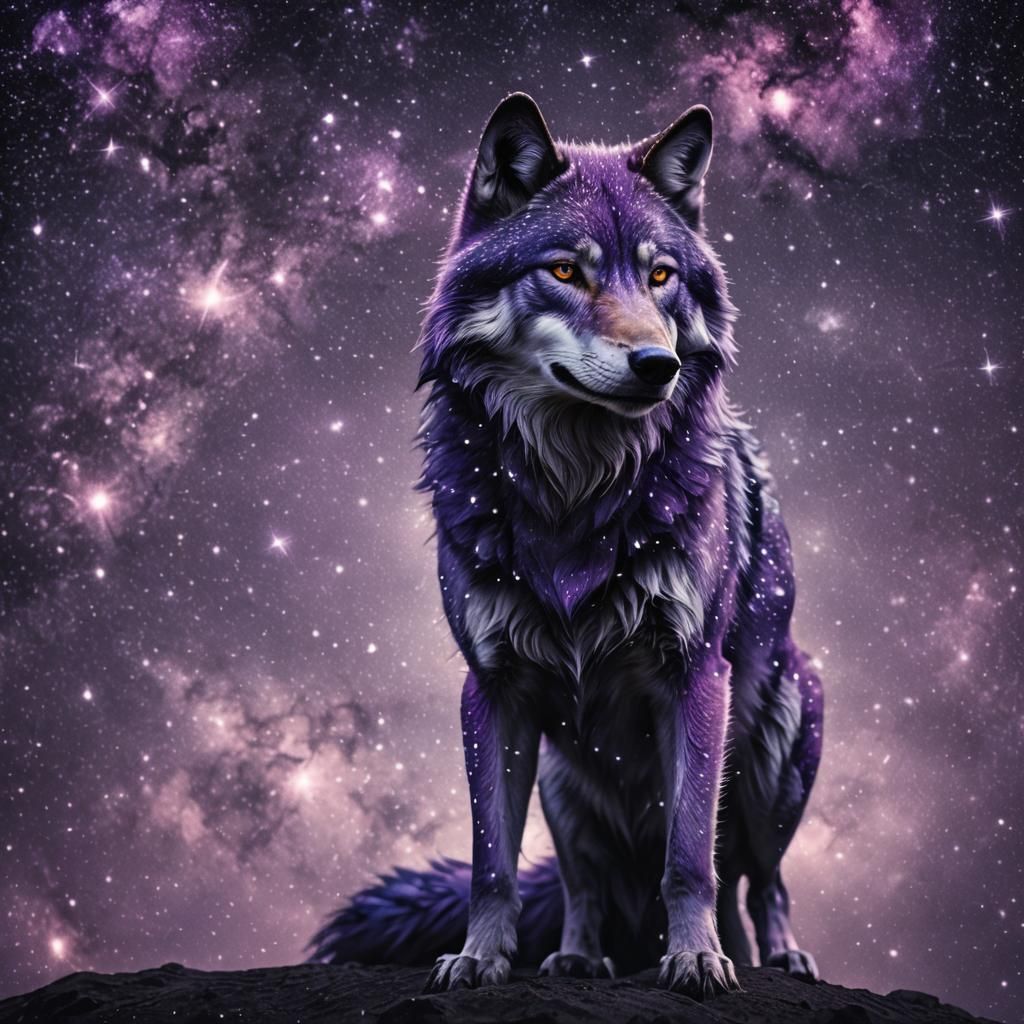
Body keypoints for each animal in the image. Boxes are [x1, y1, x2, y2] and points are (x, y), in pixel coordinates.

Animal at [309, 94, 824, 1001]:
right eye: (564, 272)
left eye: (660, 276)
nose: (657, 364)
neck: (576, 492)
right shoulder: (494, 689)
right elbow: (491, 862)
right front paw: (479, 958)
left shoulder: (695, 676)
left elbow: (689, 859)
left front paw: (695, 958)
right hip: (563, 781)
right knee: (585, 885)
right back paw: (579, 955)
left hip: (773, 754)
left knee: (758, 879)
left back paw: (774, 955)